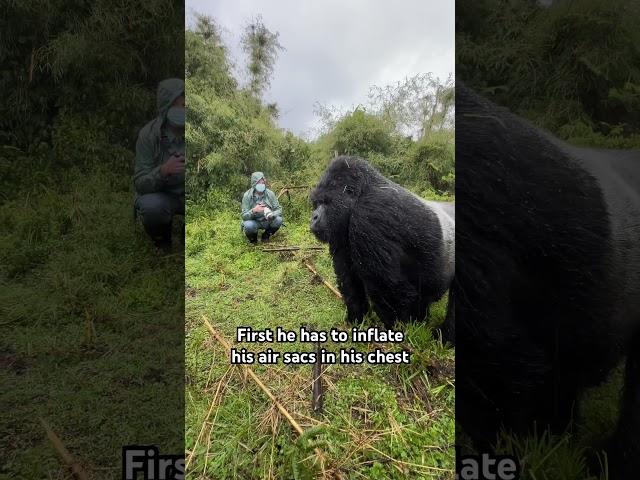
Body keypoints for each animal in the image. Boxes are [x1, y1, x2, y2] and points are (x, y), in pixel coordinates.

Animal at [308, 158, 456, 330]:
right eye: (316, 203)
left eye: (325, 202)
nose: (313, 217)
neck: (362, 193)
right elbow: (349, 278)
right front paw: (357, 321)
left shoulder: (369, 215)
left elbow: (387, 288)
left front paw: (400, 327)